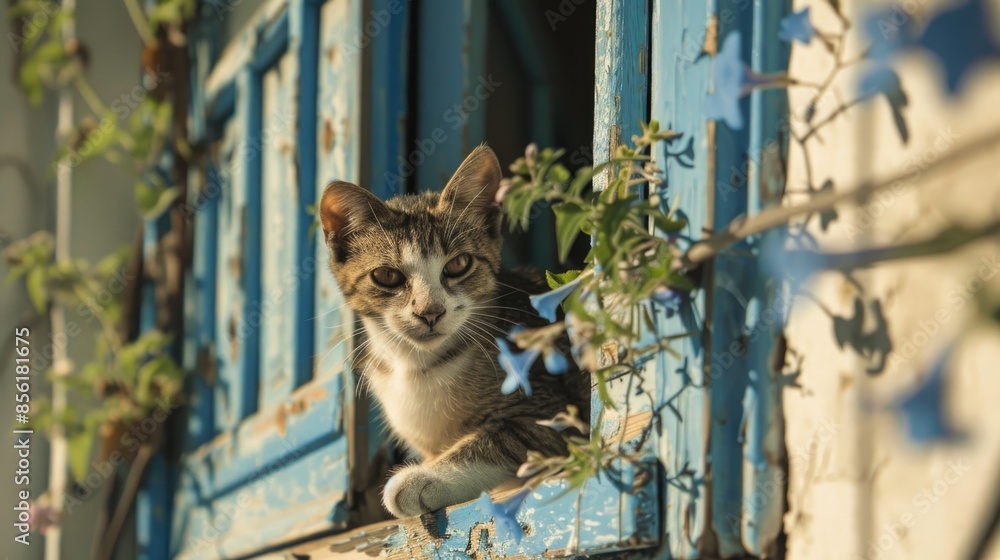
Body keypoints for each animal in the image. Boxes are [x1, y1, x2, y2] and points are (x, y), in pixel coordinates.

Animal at [318, 147, 592, 520]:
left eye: (459, 265)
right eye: (387, 275)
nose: (430, 312)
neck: (417, 366)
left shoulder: (556, 408)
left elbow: (506, 437)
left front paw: (423, 478)